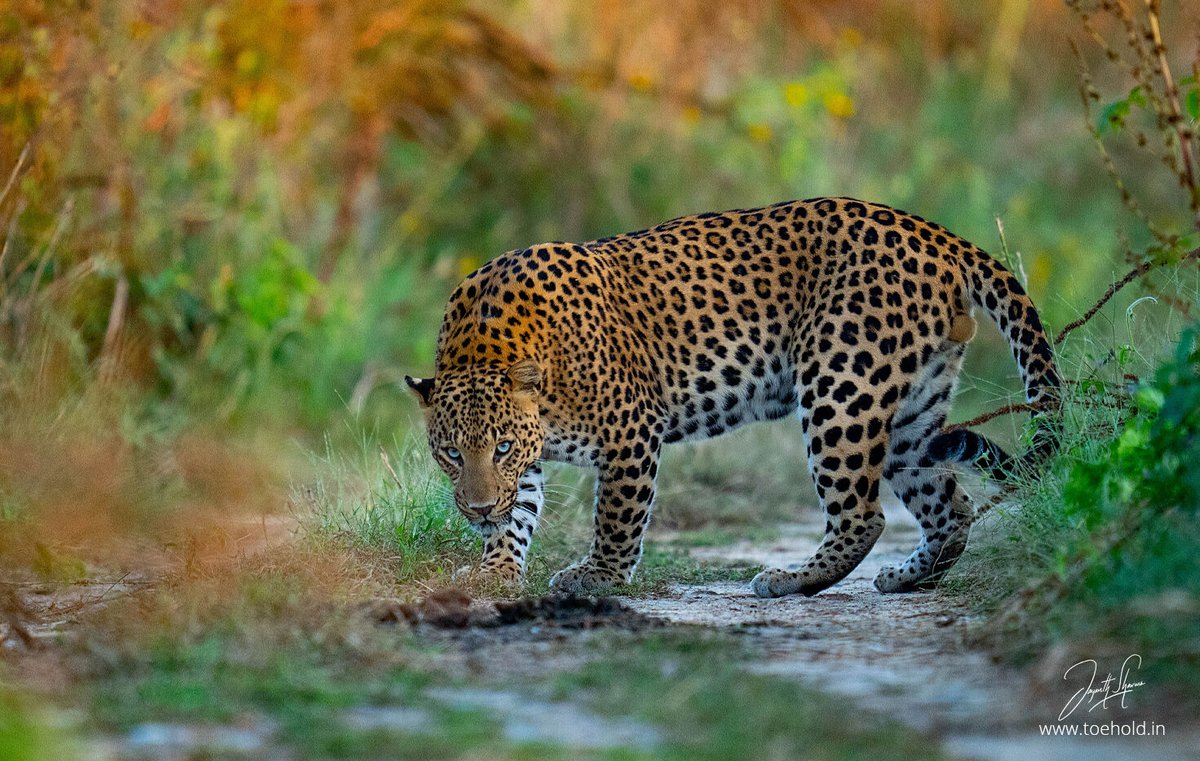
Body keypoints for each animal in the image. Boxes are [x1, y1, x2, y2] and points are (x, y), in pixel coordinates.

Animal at [405, 196, 1060, 597]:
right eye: (452, 454)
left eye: (502, 446)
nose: (474, 509)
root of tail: (936, 233)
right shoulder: (532, 461)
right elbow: (517, 514)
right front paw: (493, 569)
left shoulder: (630, 432)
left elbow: (616, 516)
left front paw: (599, 576)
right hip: (912, 411)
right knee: (950, 505)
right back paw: (907, 578)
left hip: (841, 386)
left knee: (863, 514)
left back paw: (793, 579)